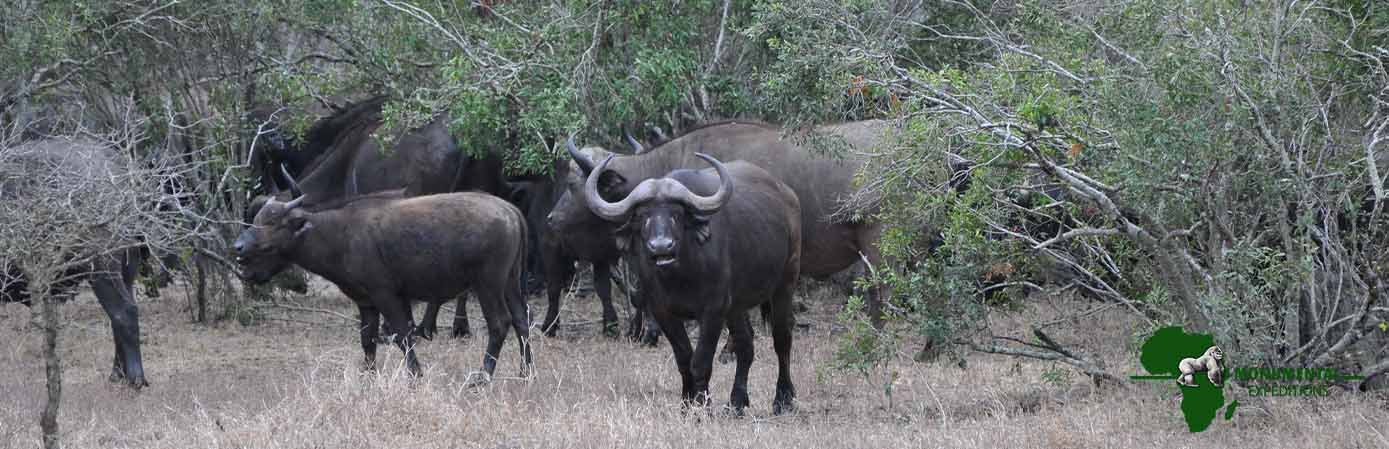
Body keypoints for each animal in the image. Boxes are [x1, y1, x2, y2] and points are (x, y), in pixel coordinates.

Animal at [236, 190, 527, 380]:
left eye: (272, 224)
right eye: (256, 220)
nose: (238, 247)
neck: (340, 235)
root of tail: (510, 210)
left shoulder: (386, 295)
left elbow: (403, 335)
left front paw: (415, 375)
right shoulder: (366, 302)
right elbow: (367, 340)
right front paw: (368, 375)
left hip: (488, 284)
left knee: (500, 323)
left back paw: (483, 377)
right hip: (511, 282)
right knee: (522, 319)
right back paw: (526, 372)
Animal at [586, 154, 805, 414]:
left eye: (677, 214)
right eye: (643, 216)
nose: (662, 247)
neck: (680, 276)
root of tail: (788, 196)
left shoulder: (713, 311)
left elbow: (700, 361)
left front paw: (701, 407)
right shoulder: (663, 312)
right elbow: (683, 358)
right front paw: (686, 405)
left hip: (786, 282)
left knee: (782, 338)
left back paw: (783, 398)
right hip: (736, 306)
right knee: (746, 344)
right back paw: (736, 402)